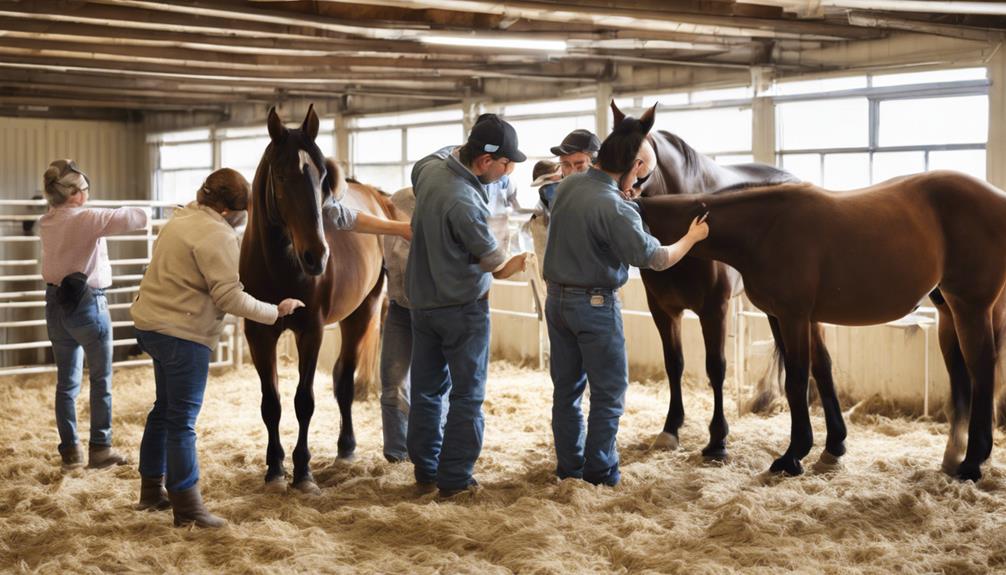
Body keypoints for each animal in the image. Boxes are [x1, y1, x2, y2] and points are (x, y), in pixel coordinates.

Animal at [239, 105, 388, 492]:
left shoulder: (311, 331)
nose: (316, 257)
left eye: (322, 176)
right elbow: (271, 403)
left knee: (344, 380)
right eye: (279, 175)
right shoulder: (258, 333)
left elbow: (303, 401)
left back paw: (346, 448)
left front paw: (303, 472)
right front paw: (275, 470)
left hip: (361, 313)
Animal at [615, 101, 796, 460]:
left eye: (637, 158)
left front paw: (718, 439)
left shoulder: (714, 310)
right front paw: (671, 428)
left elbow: (716, 367)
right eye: (603, 150)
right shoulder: (663, 310)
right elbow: (674, 363)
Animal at [635, 145, 1006, 478]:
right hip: (951, 311)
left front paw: (792, 455)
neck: (765, 227)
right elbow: (820, 370)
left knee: (981, 368)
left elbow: (798, 378)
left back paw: (972, 463)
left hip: (970, 306)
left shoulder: (793, 316)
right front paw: (832, 448)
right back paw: (955, 456)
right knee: (961, 373)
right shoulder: (794, 317)